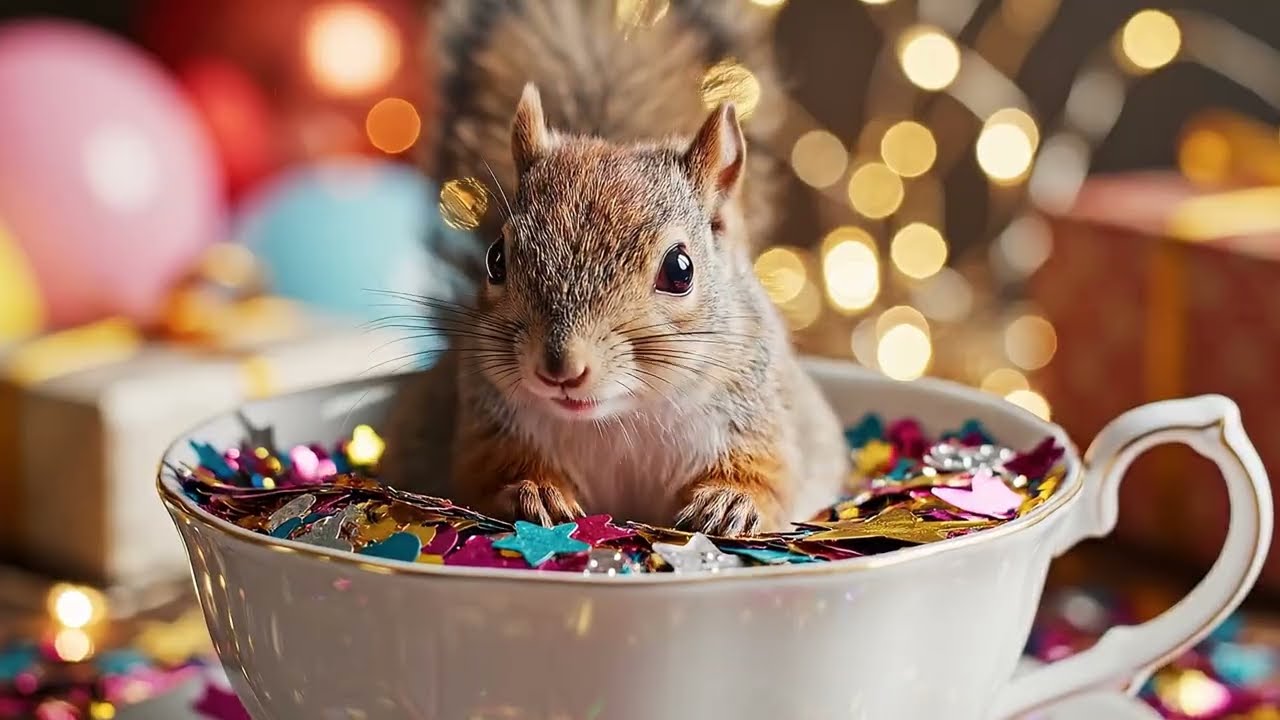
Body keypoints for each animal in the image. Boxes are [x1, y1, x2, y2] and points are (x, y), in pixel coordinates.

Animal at [381, 0, 850, 536]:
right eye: (496, 259)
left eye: (680, 269)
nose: (561, 368)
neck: (621, 416)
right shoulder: (487, 430)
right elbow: (486, 475)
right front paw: (533, 491)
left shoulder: (762, 422)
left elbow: (770, 480)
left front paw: (729, 502)